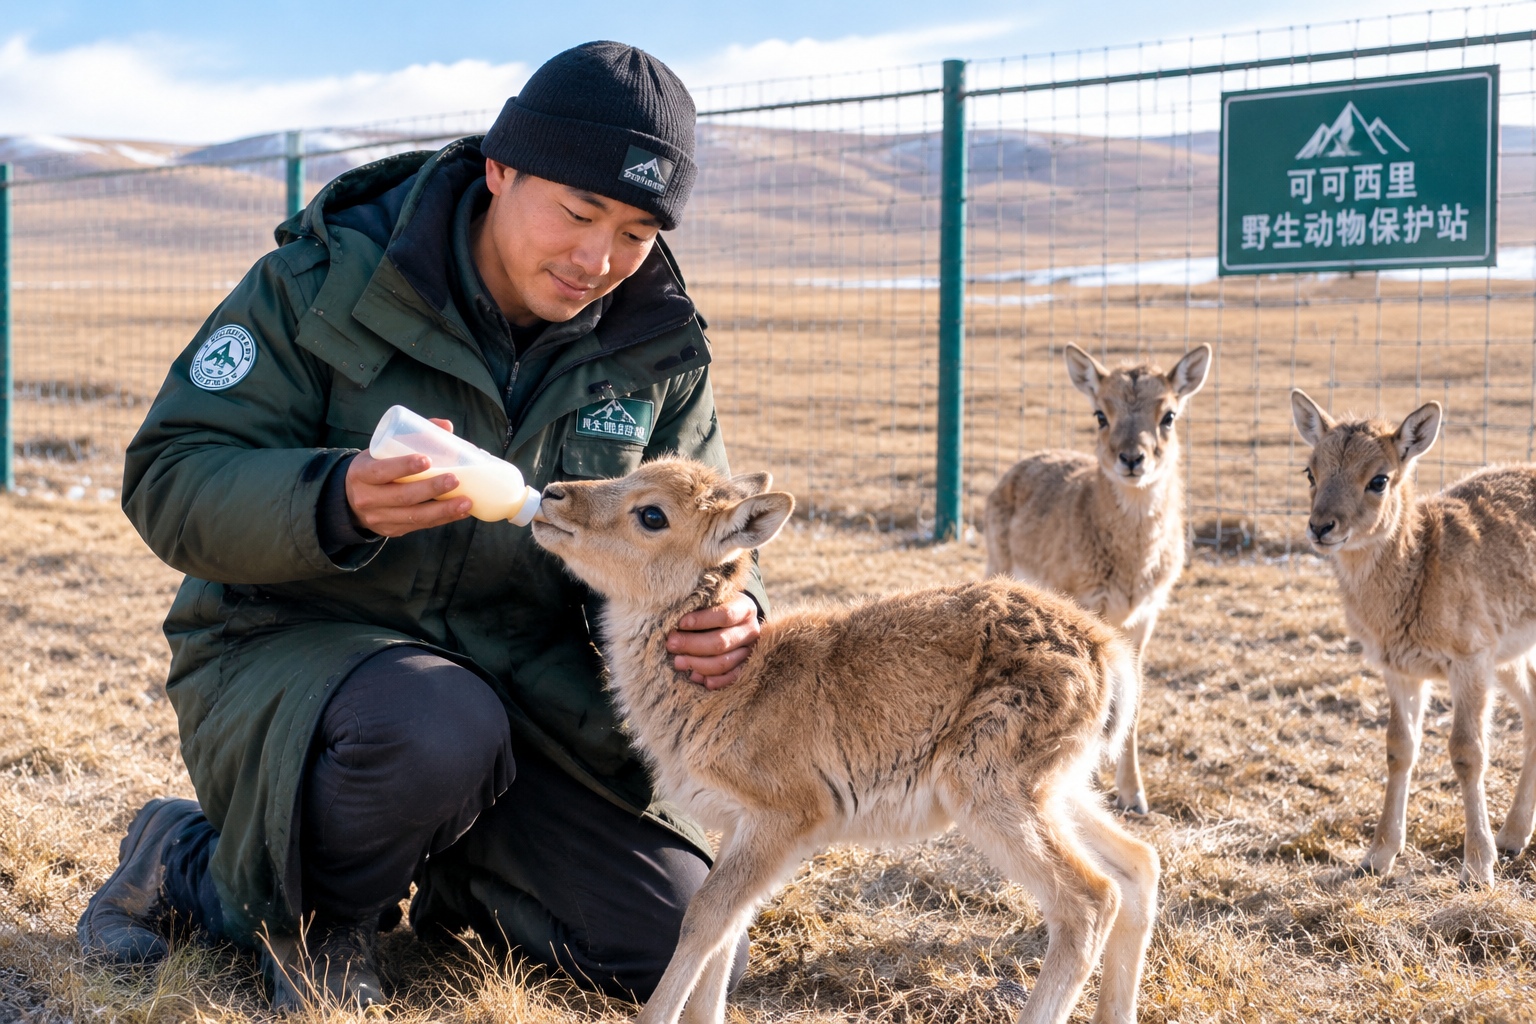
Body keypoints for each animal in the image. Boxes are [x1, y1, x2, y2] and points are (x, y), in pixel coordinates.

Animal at [531, 458, 1160, 1024]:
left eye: (652, 514)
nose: (553, 495)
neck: (728, 691)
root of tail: (1109, 655)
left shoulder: (788, 815)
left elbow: (701, 917)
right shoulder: (739, 823)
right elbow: (727, 925)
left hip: (988, 788)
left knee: (1089, 901)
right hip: (1056, 787)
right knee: (1138, 864)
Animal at [984, 343, 1211, 814]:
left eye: (1169, 414)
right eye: (1100, 414)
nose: (1132, 459)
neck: (1130, 570)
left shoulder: (1147, 615)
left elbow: (1136, 699)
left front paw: (1134, 795)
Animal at [1291, 390, 1536, 885]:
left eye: (1379, 479)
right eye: (1310, 471)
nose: (1321, 526)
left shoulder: (1471, 655)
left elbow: (1467, 752)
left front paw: (1477, 867)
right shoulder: (1400, 667)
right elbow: (1398, 747)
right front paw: (1377, 856)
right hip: (1511, 655)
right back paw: (1514, 835)